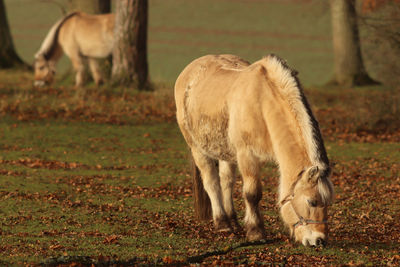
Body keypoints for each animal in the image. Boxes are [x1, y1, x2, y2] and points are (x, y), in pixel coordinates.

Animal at [175, 55, 334, 249]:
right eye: (312, 201)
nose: (319, 240)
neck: (262, 104)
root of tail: (189, 71)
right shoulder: (247, 156)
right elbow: (252, 194)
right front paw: (256, 232)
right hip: (197, 149)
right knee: (212, 183)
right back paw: (222, 223)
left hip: (226, 151)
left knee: (226, 181)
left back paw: (233, 221)